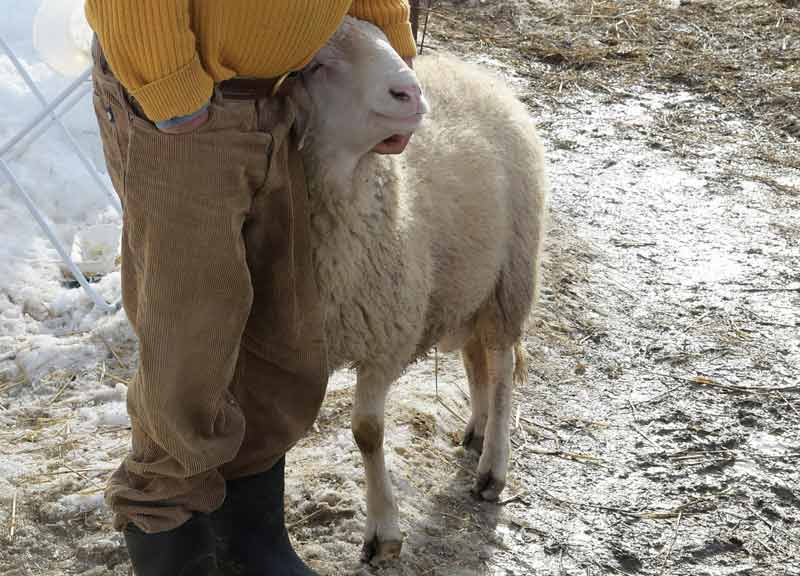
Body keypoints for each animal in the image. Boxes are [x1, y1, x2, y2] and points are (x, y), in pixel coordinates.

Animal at [288, 16, 547, 562]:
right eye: (316, 66)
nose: (410, 92)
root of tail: (471, 71)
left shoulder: (383, 338)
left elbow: (367, 433)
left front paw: (383, 531)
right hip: (467, 279)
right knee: (476, 359)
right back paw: (477, 429)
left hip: (510, 276)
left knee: (501, 365)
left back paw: (493, 467)